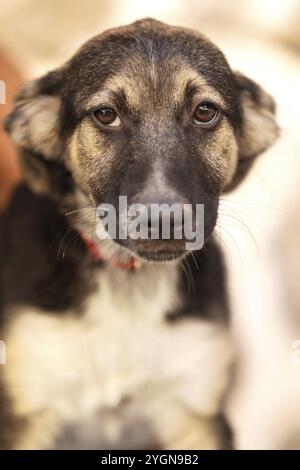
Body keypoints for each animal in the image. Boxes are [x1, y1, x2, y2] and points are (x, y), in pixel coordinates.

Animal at [0, 19, 278, 452]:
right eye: (105, 114)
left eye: (205, 112)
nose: (163, 218)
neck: (129, 282)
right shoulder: (26, 412)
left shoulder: (198, 414)